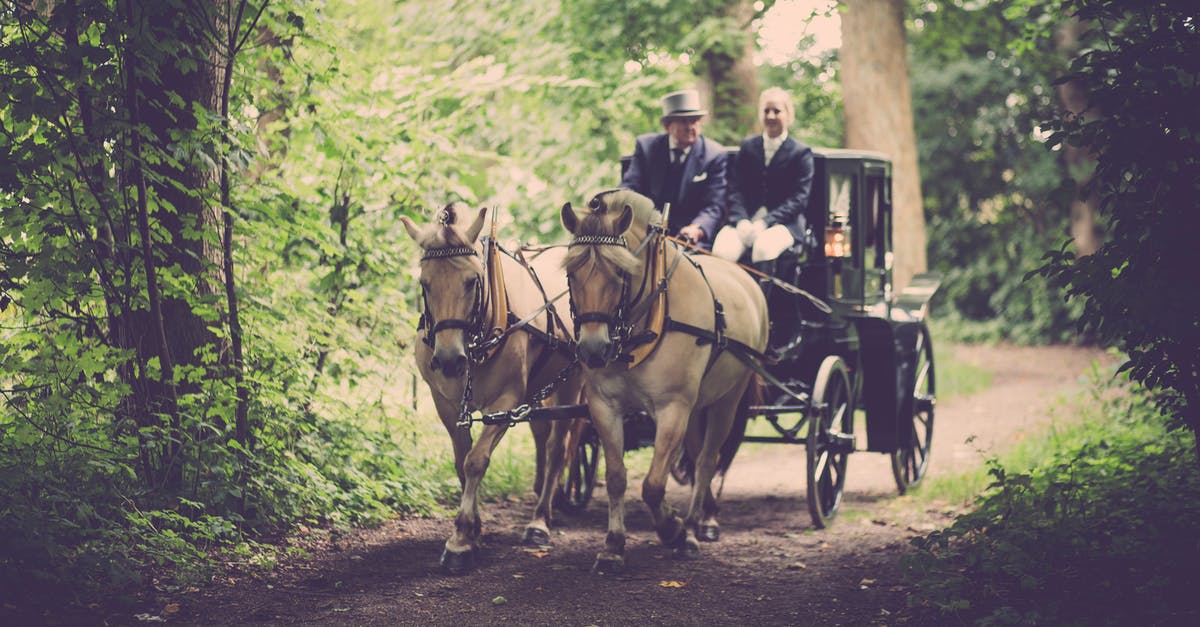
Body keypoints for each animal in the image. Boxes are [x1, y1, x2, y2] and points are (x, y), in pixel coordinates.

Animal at [400, 204, 583, 571]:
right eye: (424, 283)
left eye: (473, 281)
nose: (449, 359)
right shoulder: (445, 403)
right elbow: (461, 461)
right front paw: (475, 531)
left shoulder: (506, 401)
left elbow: (476, 460)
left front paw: (460, 540)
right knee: (543, 435)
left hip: (574, 382)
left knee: (557, 447)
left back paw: (540, 519)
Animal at [559, 188, 768, 571]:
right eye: (571, 273)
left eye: (620, 272)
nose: (593, 350)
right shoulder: (604, 406)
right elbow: (616, 477)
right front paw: (613, 544)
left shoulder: (673, 408)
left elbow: (654, 484)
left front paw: (674, 529)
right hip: (699, 404)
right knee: (698, 455)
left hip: (726, 400)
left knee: (707, 459)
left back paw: (698, 523)